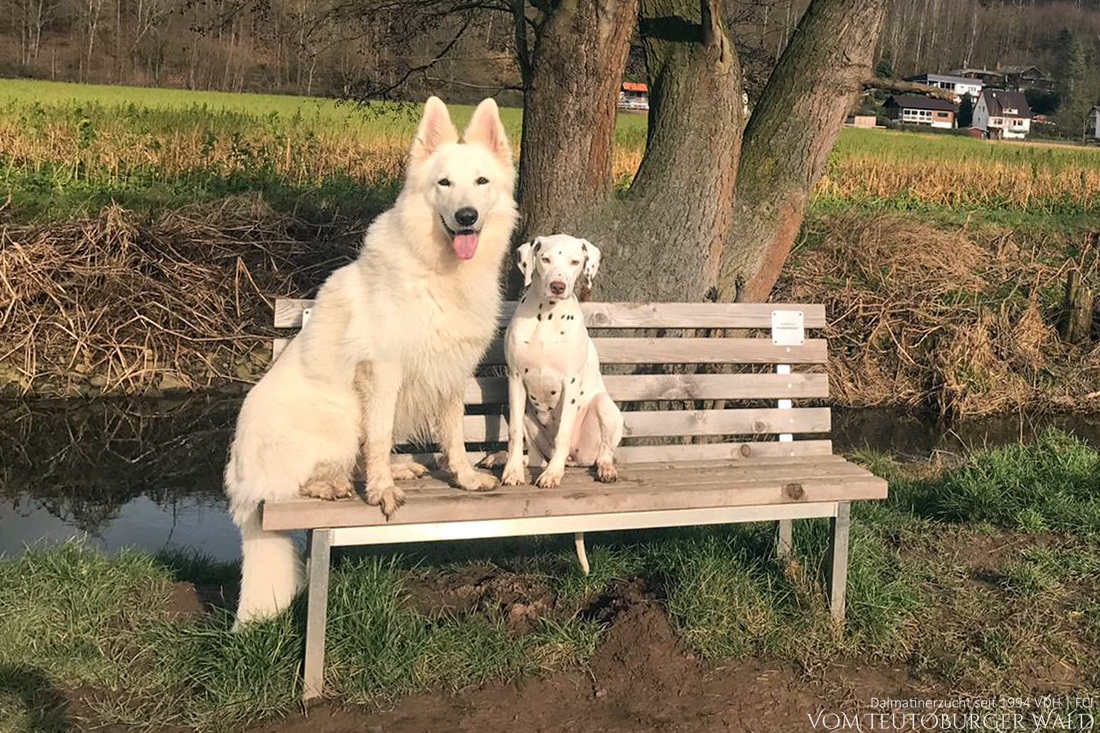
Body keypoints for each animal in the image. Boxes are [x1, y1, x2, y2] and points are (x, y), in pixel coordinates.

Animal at [224, 95, 519, 620]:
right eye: (444, 183)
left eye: (482, 182)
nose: (466, 216)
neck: (439, 272)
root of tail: (240, 482)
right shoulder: (384, 372)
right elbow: (379, 438)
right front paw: (382, 490)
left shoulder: (453, 373)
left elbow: (453, 435)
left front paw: (464, 478)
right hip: (339, 417)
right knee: (301, 480)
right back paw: (333, 485)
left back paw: (396, 469)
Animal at [497, 231, 620, 488]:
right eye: (545, 259)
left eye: (575, 262)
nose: (557, 286)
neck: (547, 315)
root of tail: (575, 459)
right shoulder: (515, 379)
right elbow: (513, 433)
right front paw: (512, 471)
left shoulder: (570, 383)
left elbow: (563, 433)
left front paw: (553, 474)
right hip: (528, 416)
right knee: (536, 457)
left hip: (605, 407)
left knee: (604, 452)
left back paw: (605, 469)